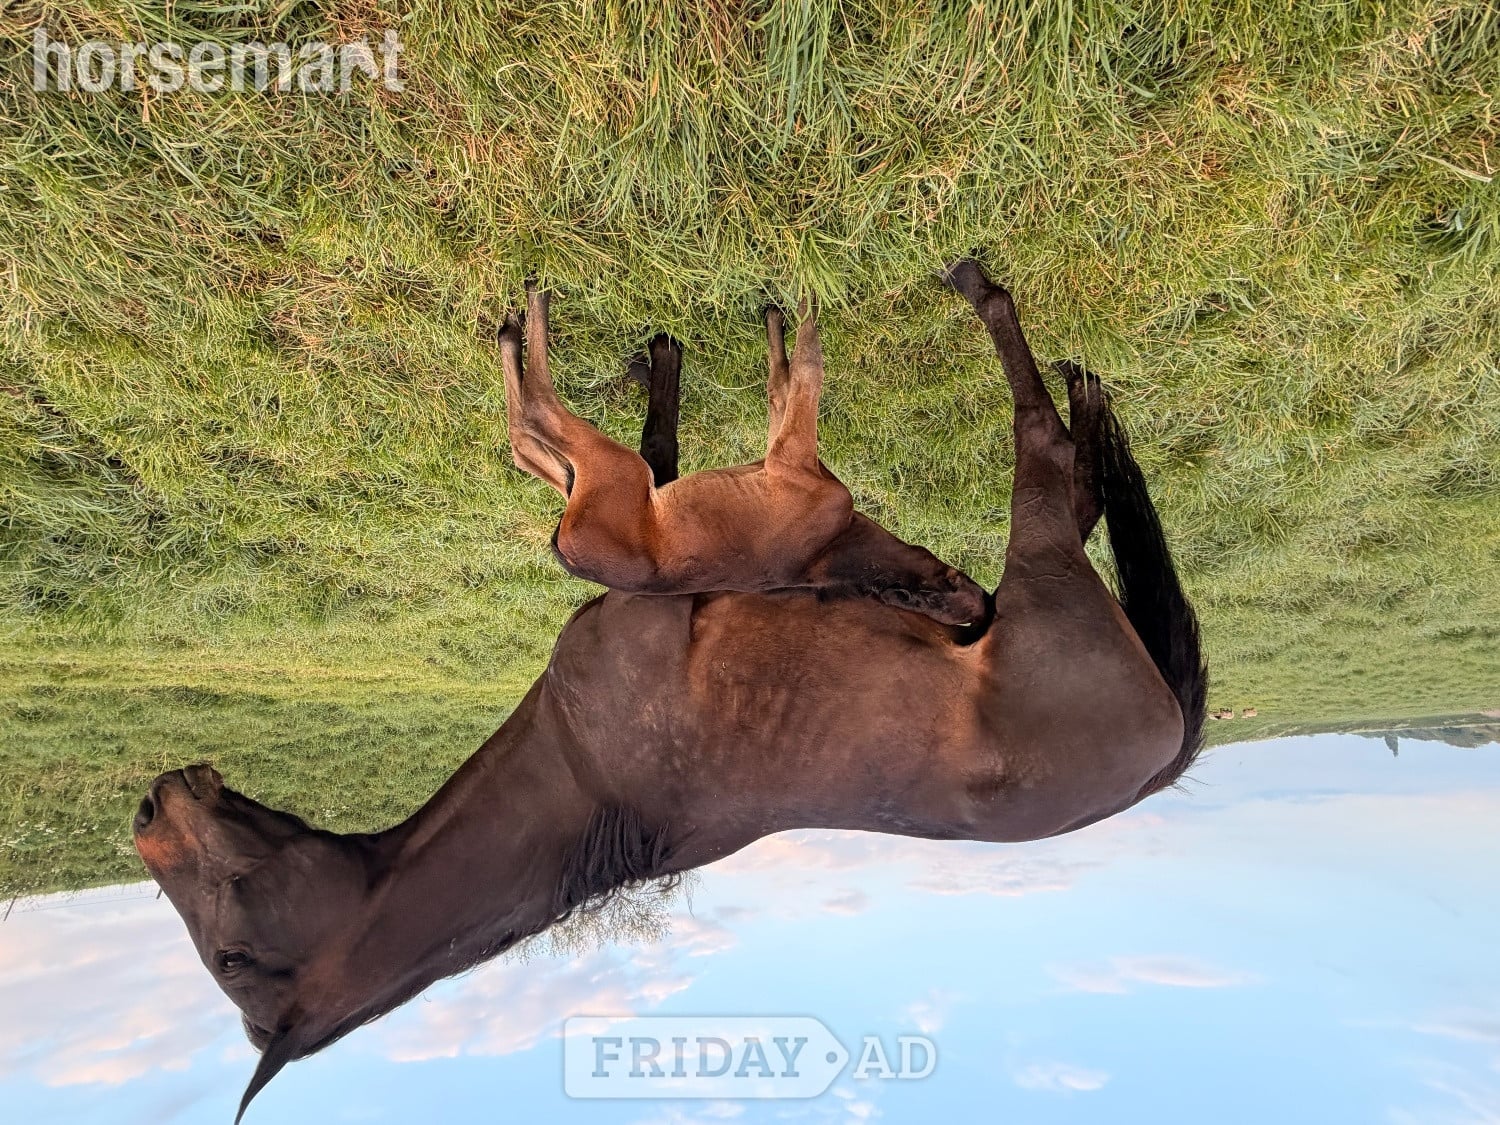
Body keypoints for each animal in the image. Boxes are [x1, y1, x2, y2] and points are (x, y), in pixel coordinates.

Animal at [133, 262, 1206, 1121]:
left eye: (230, 954)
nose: (148, 807)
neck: (581, 770)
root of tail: (1161, 758)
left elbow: (564, 454)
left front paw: (624, 358)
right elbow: (585, 455)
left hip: (1036, 559)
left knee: (1049, 450)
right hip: (1033, 560)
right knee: (1056, 463)